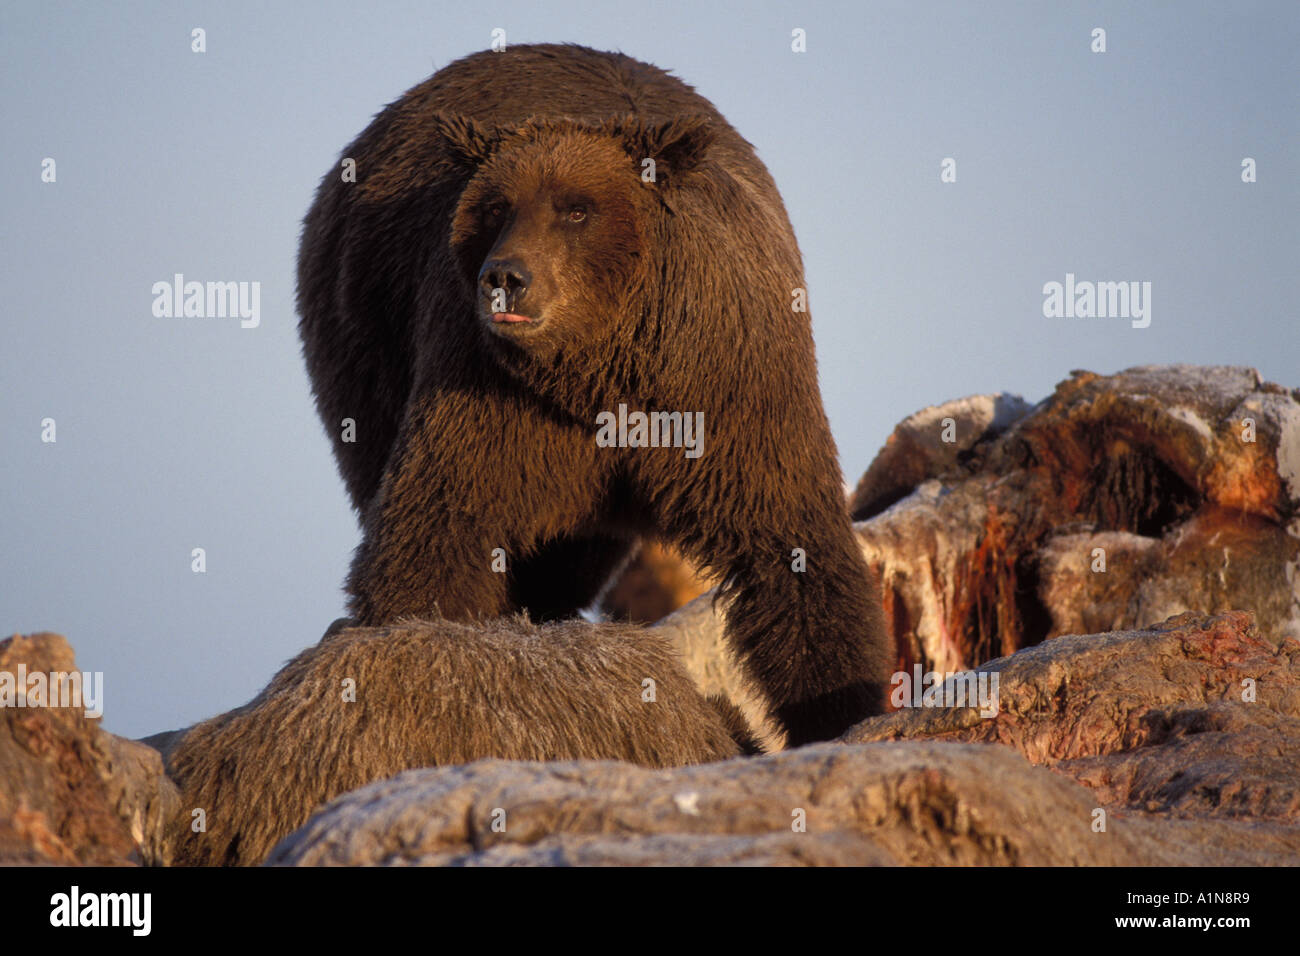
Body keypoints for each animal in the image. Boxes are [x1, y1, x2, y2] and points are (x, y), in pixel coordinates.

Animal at [297, 42, 893, 747]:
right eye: (496, 207)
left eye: (576, 209)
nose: (505, 278)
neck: (605, 366)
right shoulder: (489, 392)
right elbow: (441, 521)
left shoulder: (732, 392)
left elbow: (792, 544)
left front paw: (839, 709)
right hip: (361, 335)